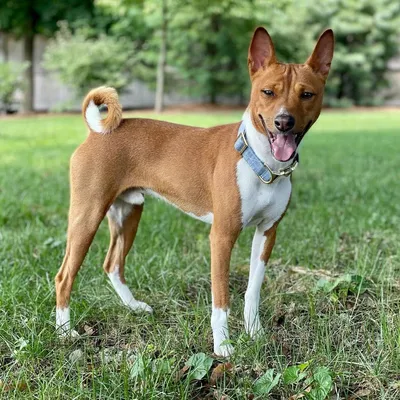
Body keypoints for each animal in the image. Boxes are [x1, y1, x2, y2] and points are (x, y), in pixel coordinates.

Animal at [54, 26, 334, 356]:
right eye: (268, 92)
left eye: (307, 94)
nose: (283, 122)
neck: (261, 162)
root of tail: (96, 132)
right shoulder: (222, 236)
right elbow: (221, 300)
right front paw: (223, 346)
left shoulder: (267, 233)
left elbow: (252, 291)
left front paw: (255, 333)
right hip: (87, 216)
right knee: (64, 276)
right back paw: (64, 332)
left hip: (128, 213)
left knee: (112, 264)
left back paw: (133, 307)